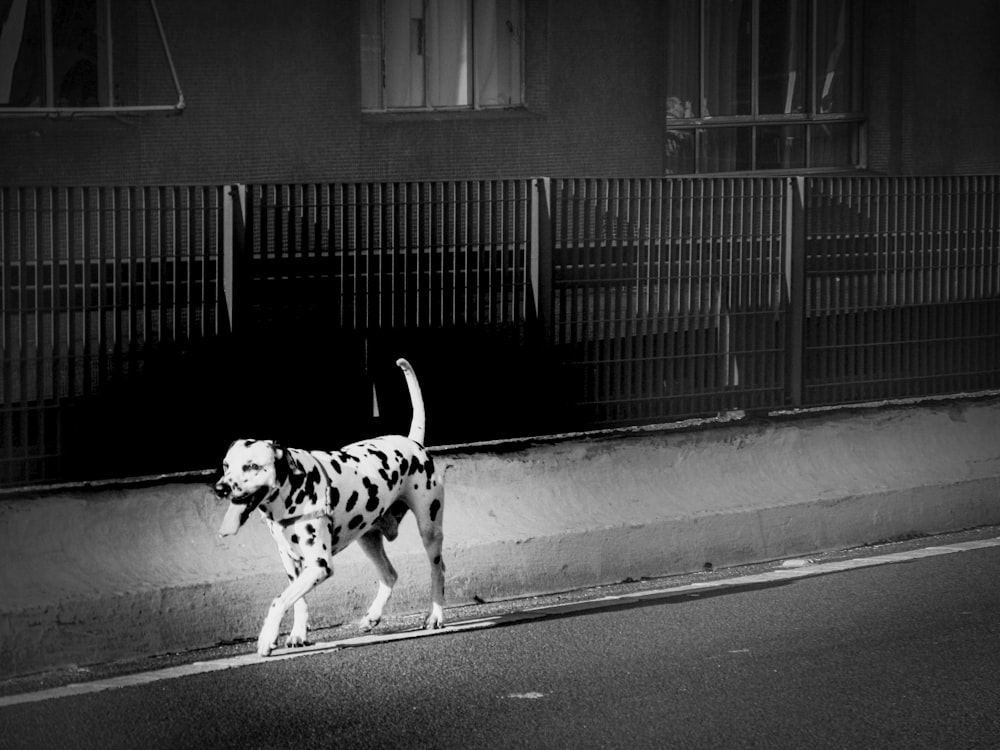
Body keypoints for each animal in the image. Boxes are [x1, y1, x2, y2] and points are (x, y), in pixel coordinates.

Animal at [215, 360, 446, 656]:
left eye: (252, 466)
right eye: (226, 465)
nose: (221, 488)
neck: (293, 487)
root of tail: (412, 442)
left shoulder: (319, 565)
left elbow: (279, 600)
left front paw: (267, 638)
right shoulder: (292, 563)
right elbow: (297, 601)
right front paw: (298, 634)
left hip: (429, 530)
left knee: (438, 570)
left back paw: (436, 615)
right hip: (368, 540)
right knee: (390, 575)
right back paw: (372, 616)